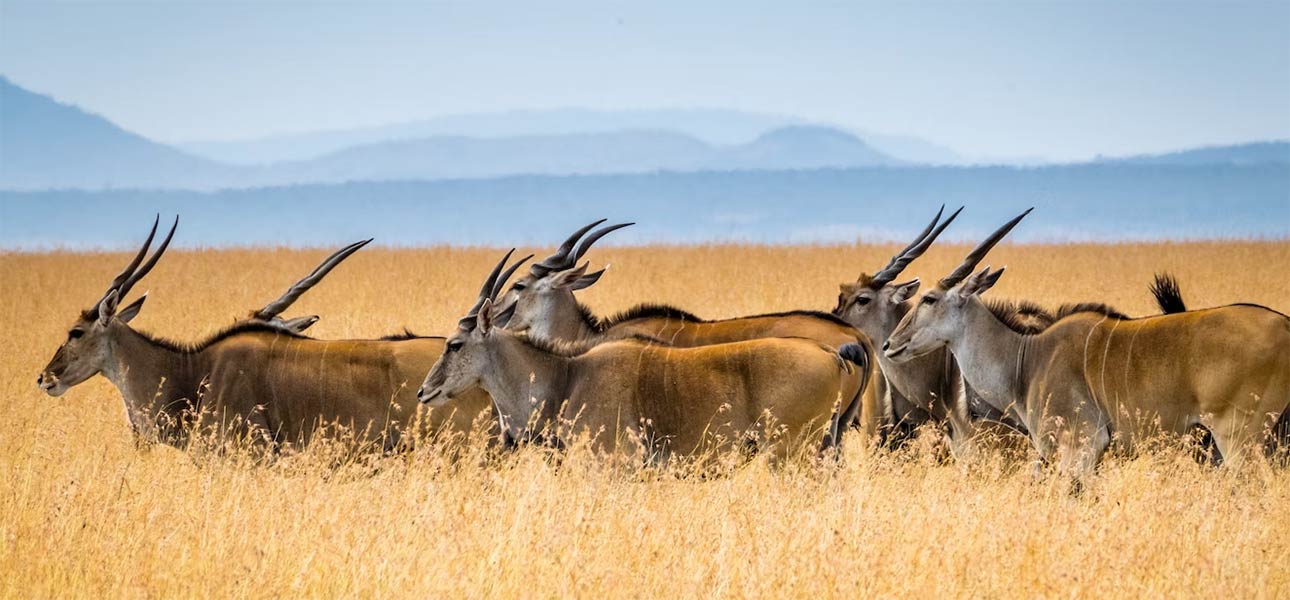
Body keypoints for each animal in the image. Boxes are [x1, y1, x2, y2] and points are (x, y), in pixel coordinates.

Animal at [882, 207, 1290, 485]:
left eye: (929, 299)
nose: (889, 345)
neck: (1026, 359)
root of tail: (1285, 325)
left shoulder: (1081, 445)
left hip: (1239, 438)